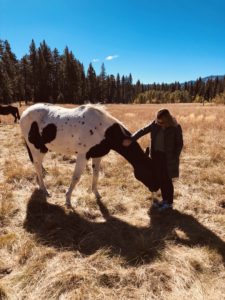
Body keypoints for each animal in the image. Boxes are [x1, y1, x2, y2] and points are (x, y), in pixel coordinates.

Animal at [20, 103, 158, 206]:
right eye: (149, 170)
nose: (156, 189)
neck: (103, 131)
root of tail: (25, 113)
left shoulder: (97, 156)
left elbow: (96, 175)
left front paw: (96, 194)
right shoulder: (82, 156)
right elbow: (76, 178)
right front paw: (68, 200)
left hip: (42, 149)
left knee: (38, 167)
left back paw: (40, 185)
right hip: (36, 148)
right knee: (38, 167)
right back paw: (45, 190)